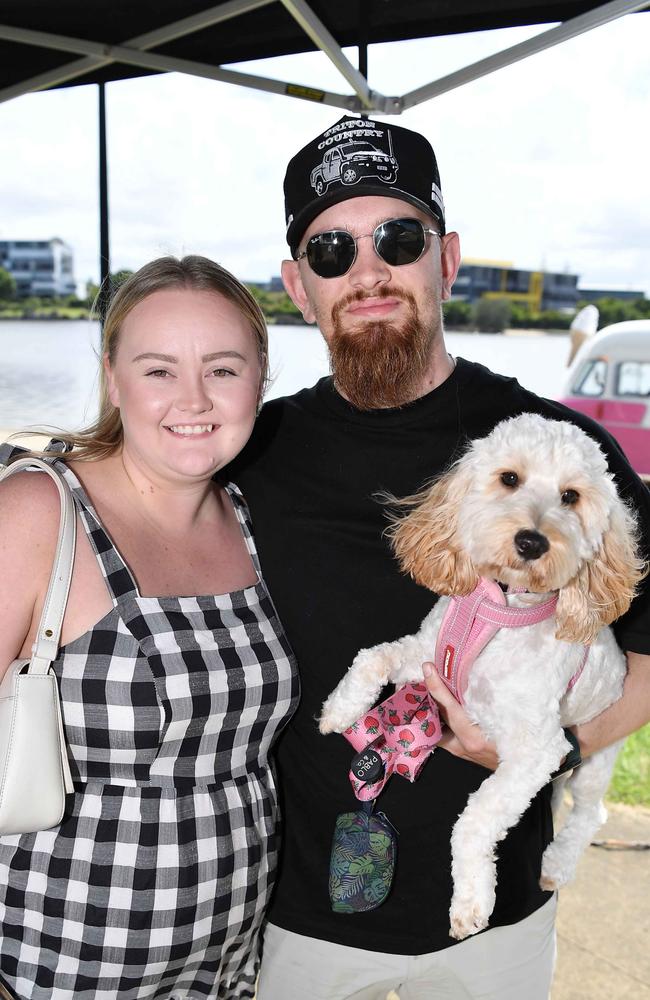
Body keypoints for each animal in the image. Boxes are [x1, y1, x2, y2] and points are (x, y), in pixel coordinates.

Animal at [318, 410, 644, 940]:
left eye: (571, 496)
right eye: (509, 478)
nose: (532, 541)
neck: (499, 610)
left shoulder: (537, 751)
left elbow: (473, 822)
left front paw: (471, 901)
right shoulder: (426, 654)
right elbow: (372, 657)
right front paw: (340, 710)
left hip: (598, 756)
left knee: (591, 811)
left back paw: (556, 863)